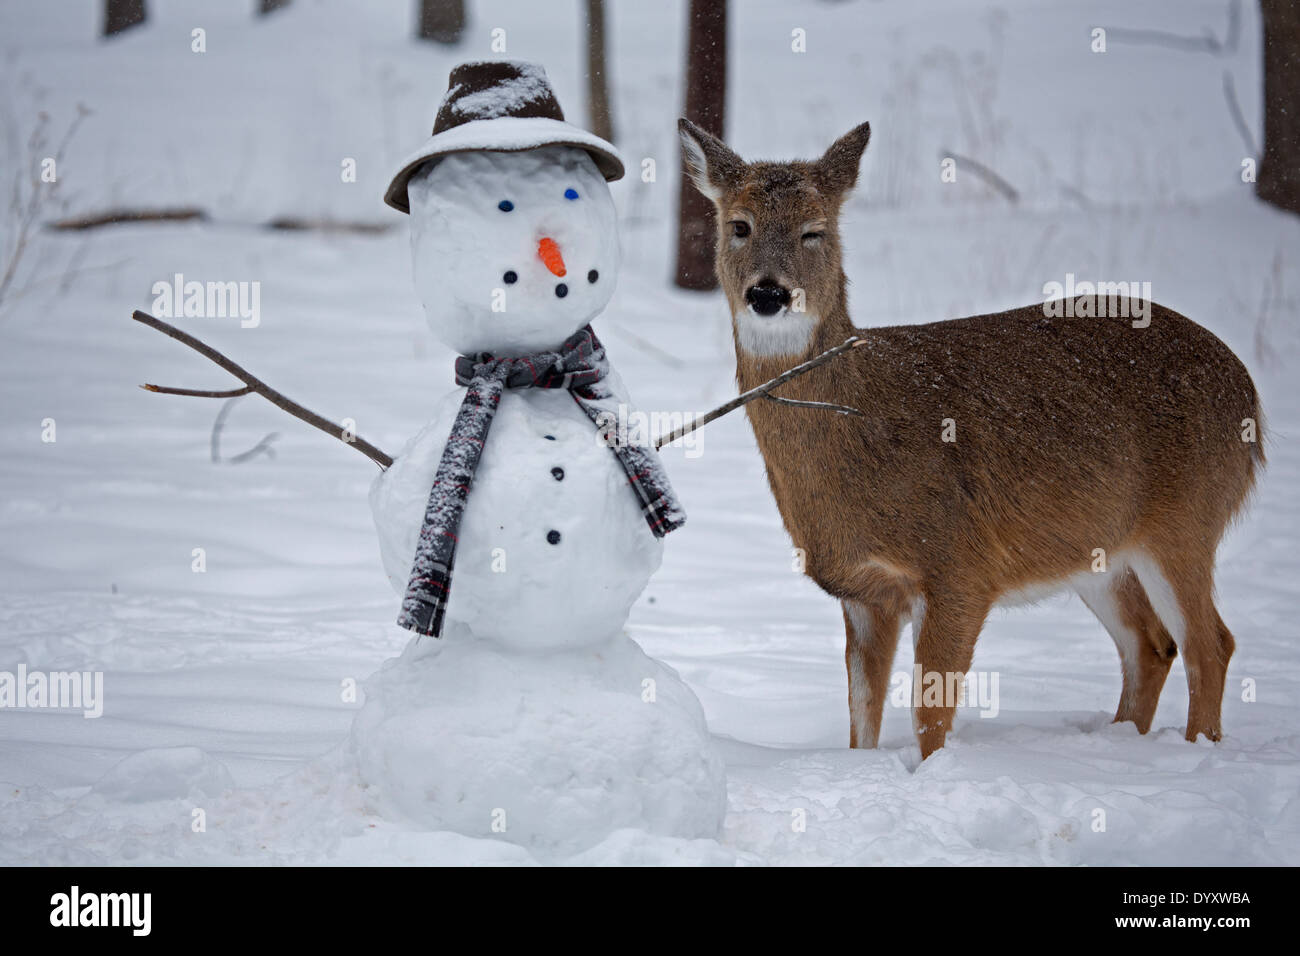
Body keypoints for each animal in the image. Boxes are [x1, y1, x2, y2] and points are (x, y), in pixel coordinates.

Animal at [676, 119, 1263, 759]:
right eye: (739, 225)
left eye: (814, 231)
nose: (768, 293)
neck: (867, 425)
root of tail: (1250, 400)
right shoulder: (864, 592)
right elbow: (863, 722)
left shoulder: (960, 564)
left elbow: (930, 718)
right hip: (1101, 550)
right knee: (1152, 644)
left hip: (1186, 519)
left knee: (1212, 644)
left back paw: (1197, 750)